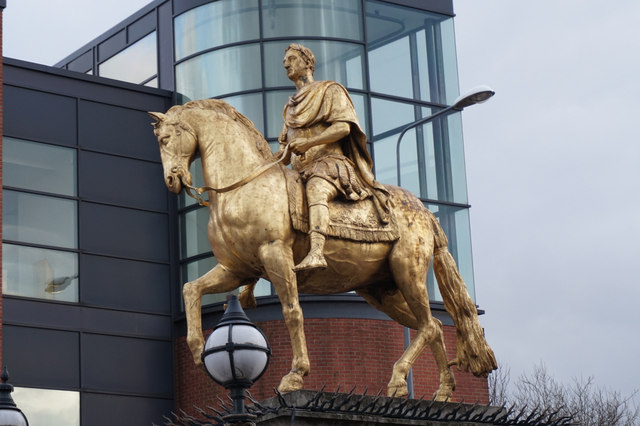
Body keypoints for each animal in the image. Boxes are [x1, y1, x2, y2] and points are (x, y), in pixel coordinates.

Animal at [149, 99, 496, 400]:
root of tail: (425, 212)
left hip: (407, 272)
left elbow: (292, 312)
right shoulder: (235, 269)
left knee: (428, 325)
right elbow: (190, 288)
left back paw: (398, 381)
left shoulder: (275, 256)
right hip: (384, 291)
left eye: (166, 139)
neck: (242, 186)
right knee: (433, 326)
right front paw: (197, 350)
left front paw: (295, 376)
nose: (172, 180)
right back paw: (442, 391)